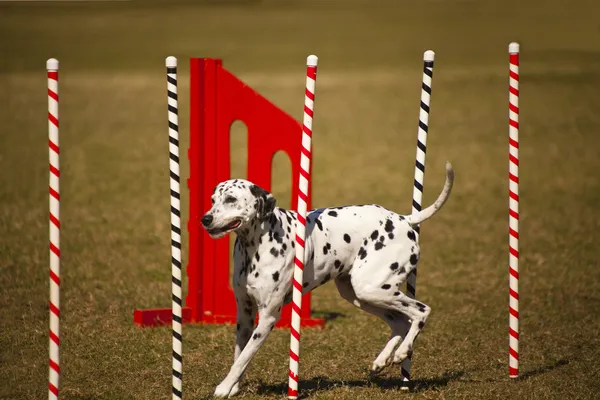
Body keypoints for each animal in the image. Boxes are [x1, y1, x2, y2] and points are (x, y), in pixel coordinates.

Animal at [202, 161, 454, 396]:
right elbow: (239, 355)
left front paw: (224, 387)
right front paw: (233, 387)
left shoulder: (267, 317)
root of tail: (404, 220)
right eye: (214, 199)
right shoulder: (245, 314)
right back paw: (382, 360)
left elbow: (244, 356)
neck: (256, 246)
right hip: (360, 295)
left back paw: (402, 351)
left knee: (421, 311)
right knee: (400, 321)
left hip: (373, 289)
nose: (205, 219)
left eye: (231, 199)